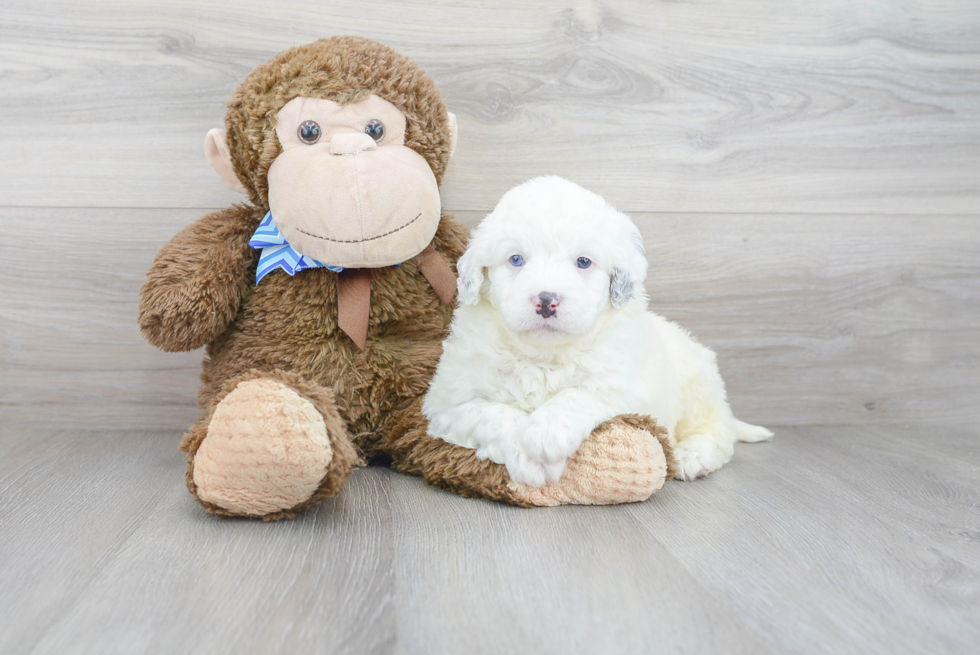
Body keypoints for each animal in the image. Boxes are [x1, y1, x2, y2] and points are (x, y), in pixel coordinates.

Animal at [424, 176, 768, 486]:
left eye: (583, 262)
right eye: (516, 259)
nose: (546, 300)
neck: (545, 354)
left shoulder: (625, 382)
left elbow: (582, 393)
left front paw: (544, 435)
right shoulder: (448, 403)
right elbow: (493, 414)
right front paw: (526, 458)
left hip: (697, 386)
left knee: (717, 430)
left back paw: (692, 457)